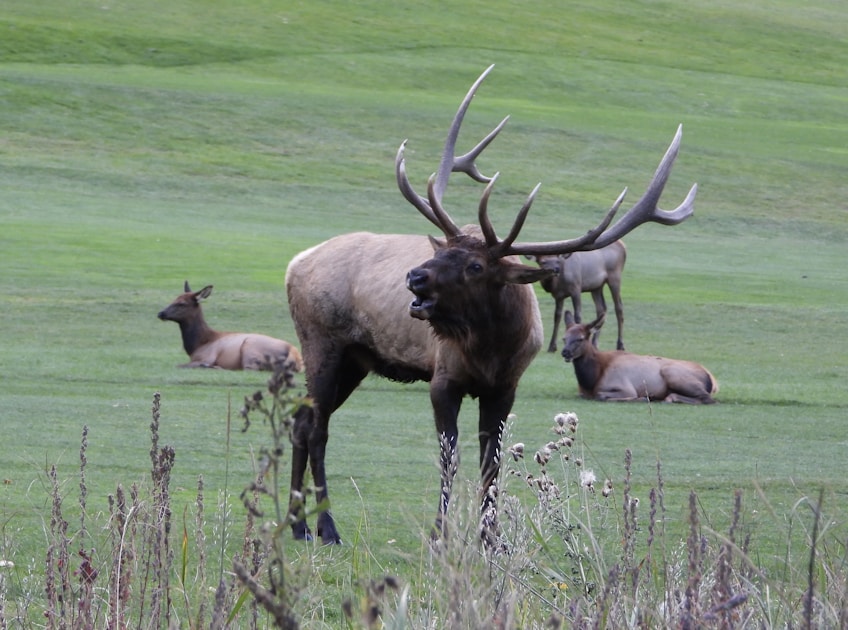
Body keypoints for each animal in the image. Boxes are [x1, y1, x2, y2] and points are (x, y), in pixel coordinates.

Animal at [157, 281, 303, 372]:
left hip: (250, 349)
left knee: (248, 369)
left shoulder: (207, 356)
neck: (197, 345)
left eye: (182, 303)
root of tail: (294, 353)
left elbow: (179, 365)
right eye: (174, 299)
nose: (161, 313)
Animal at [284, 64, 697, 545]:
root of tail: (294, 264)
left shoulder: (505, 386)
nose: (414, 276)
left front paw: (490, 538)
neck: (491, 349)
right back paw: (326, 526)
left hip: (355, 359)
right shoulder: (443, 378)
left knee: (301, 422)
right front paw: (440, 534)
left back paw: (298, 524)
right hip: (322, 343)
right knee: (317, 429)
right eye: (445, 247)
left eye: (476, 265)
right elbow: (450, 458)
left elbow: (492, 463)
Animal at [561, 311, 718, 404]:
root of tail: (712, 380)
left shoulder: (625, 387)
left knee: (707, 398)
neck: (592, 378)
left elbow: (601, 395)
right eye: (564, 338)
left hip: (672, 372)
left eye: (580, 338)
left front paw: (641, 398)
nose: (565, 352)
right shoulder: (582, 392)